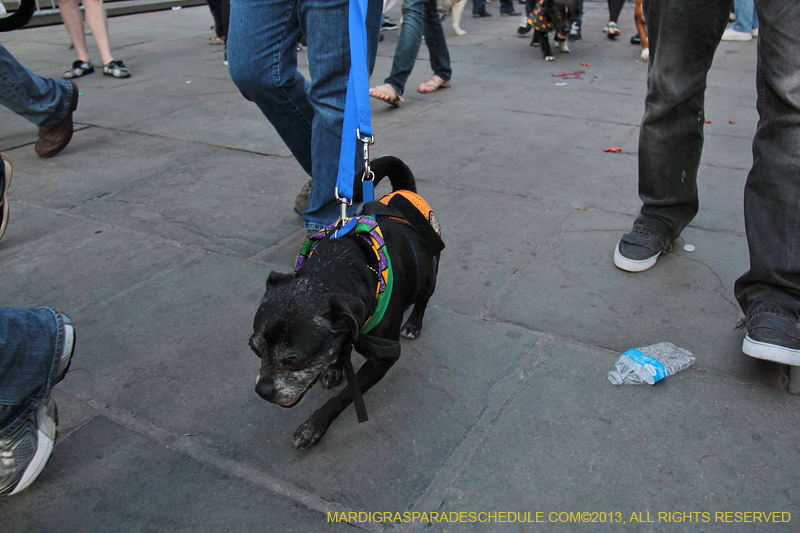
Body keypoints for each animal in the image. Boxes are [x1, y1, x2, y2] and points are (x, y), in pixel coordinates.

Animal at [248, 155, 444, 448]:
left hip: (429, 275)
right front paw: (334, 367)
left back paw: (413, 324)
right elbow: (340, 348)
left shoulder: (383, 357)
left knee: (423, 299)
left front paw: (314, 426)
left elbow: (346, 397)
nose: (262, 390)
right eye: (255, 350)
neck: (337, 267)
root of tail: (405, 191)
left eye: (293, 362)